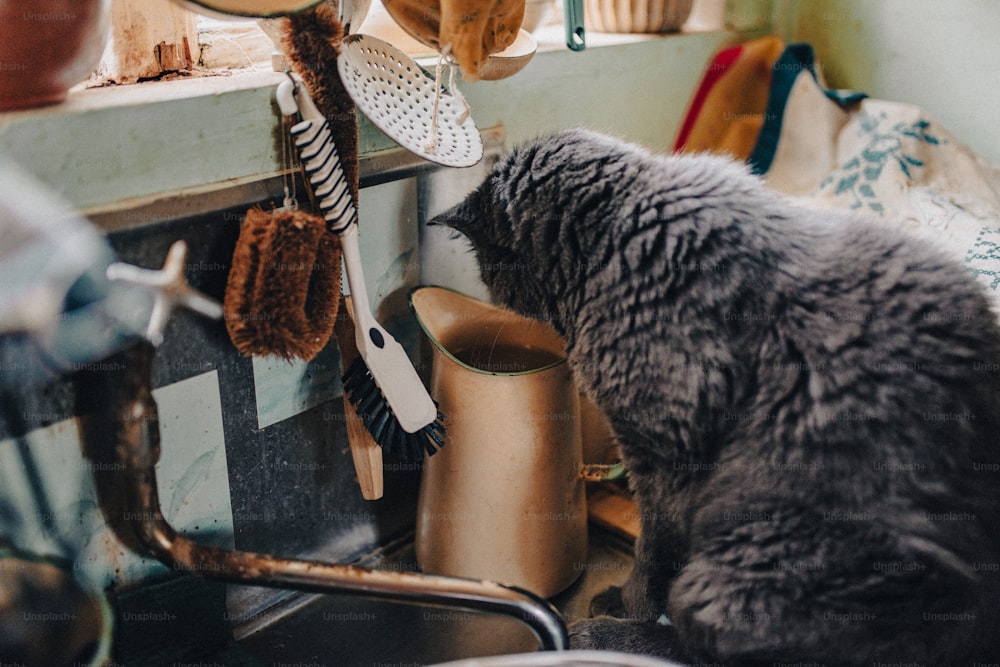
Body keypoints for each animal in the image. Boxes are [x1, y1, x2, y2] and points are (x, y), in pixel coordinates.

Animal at [430, 128, 1000, 664]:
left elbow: (654, 551)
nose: (487, 289)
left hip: (749, 564)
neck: (624, 227)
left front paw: (626, 603)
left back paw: (609, 637)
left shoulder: (662, 456)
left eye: (488, 267)